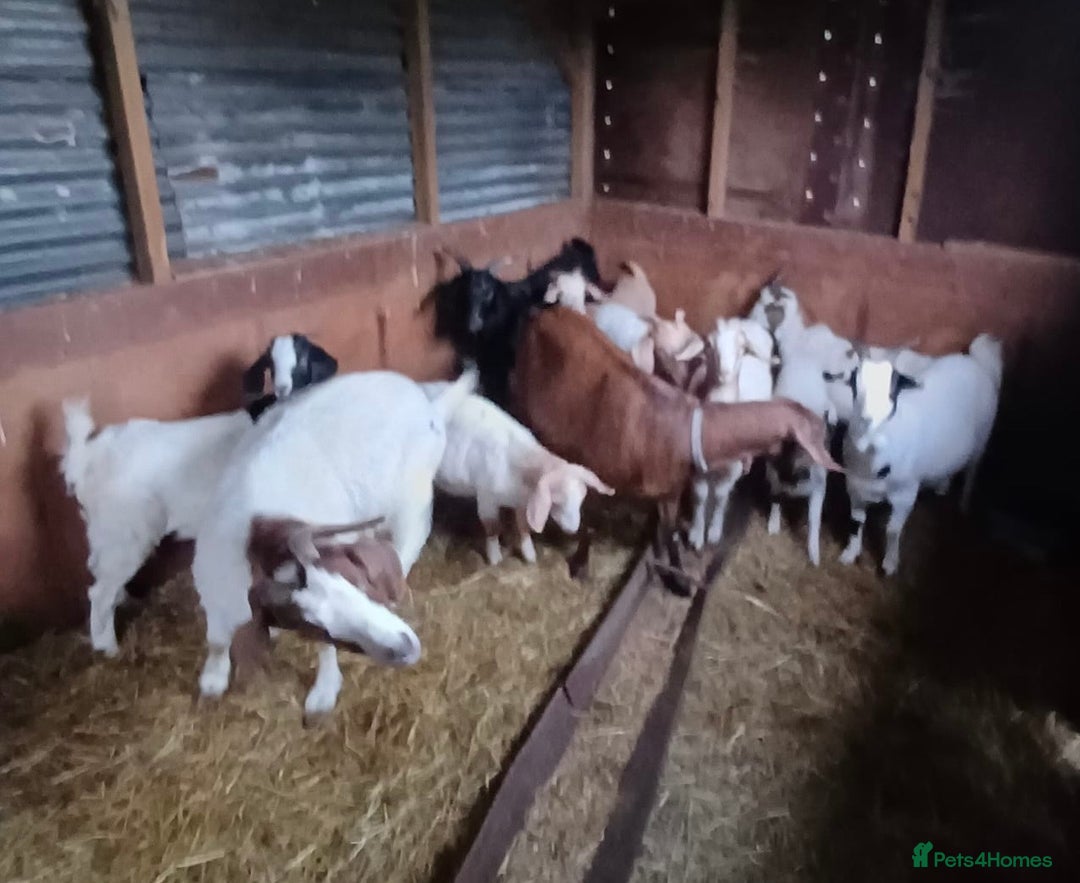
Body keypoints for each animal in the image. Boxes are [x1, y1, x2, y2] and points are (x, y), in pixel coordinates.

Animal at [191, 370, 475, 718]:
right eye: (314, 626)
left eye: (359, 583)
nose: (404, 649)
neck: (260, 539)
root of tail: (431, 407)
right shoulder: (217, 586)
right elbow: (217, 637)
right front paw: (213, 679)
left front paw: (323, 692)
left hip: (412, 501)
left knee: (408, 543)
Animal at [839, 333, 1003, 575]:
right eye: (854, 382)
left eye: (894, 386)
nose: (869, 418)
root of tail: (977, 362)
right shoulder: (855, 488)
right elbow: (855, 522)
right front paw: (850, 553)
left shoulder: (905, 494)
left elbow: (892, 530)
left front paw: (890, 564)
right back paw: (942, 487)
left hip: (983, 437)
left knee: (972, 472)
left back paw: (963, 506)